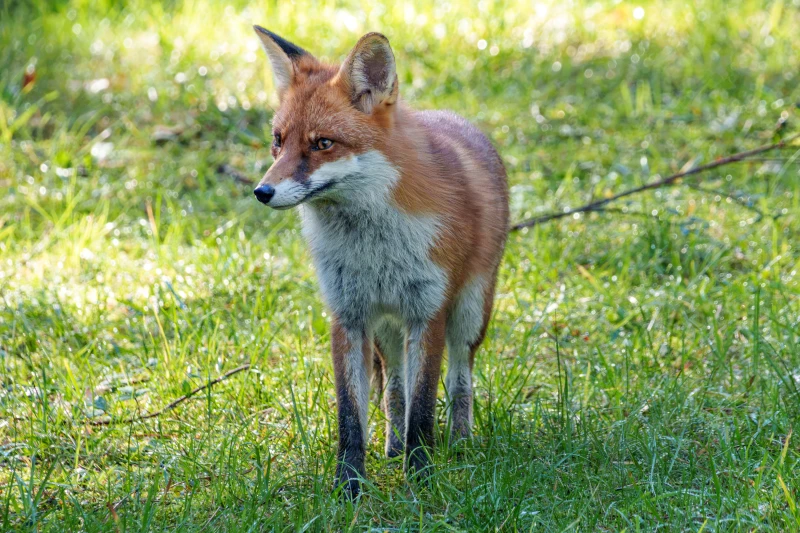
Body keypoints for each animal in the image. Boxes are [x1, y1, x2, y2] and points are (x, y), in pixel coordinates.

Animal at [251, 26, 509, 495]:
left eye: (323, 143)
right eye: (278, 141)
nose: (262, 192)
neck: (374, 251)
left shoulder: (428, 312)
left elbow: (423, 410)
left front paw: (421, 477)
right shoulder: (348, 315)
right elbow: (352, 415)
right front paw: (349, 485)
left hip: (469, 312)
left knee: (460, 378)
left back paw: (460, 443)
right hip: (387, 327)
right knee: (394, 389)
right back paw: (392, 447)